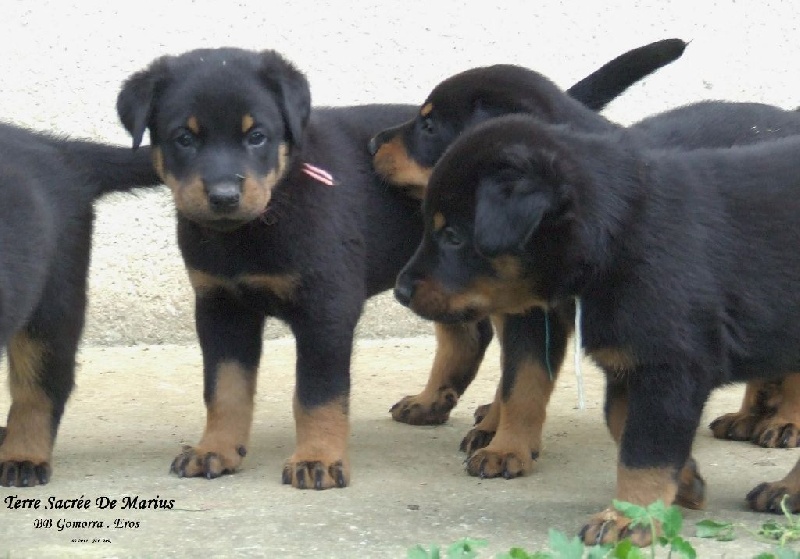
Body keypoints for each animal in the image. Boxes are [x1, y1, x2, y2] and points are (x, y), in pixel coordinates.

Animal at [114, 47, 688, 490]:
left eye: (257, 136)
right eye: (184, 138)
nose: (224, 197)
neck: (254, 227)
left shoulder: (327, 308)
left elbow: (318, 394)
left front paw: (317, 460)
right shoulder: (219, 306)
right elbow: (224, 389)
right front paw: (216, 448)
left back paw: (490, 426)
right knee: (472, 337)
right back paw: (437, 403)